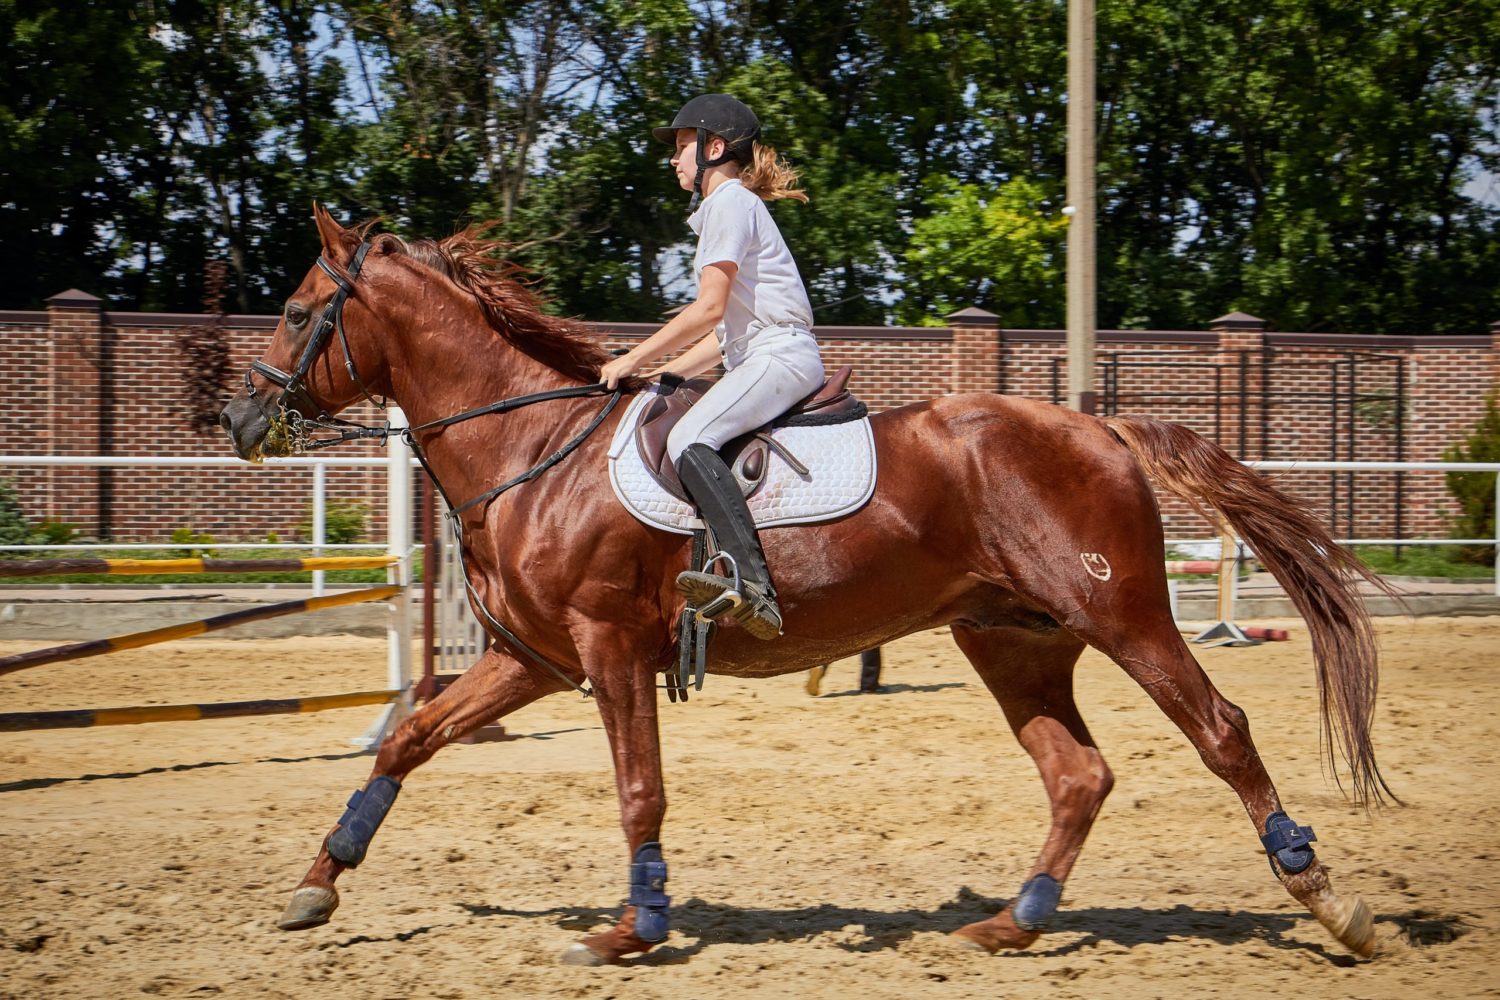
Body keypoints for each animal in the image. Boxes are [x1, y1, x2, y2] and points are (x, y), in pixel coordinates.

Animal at [219, 206, 1392, 965]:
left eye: (295, 311)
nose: (239, 419)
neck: (531, 450)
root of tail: (1097, 426)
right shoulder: (535, 660)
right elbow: (409, 738)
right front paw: (320, 881)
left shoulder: (607, 650)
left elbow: (639, 789)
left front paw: (634, 928)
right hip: (1013, 638)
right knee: (1077, 774)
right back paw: (1015, 920)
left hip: (1123, 614)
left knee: (1221, 732)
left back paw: (1328, 900)